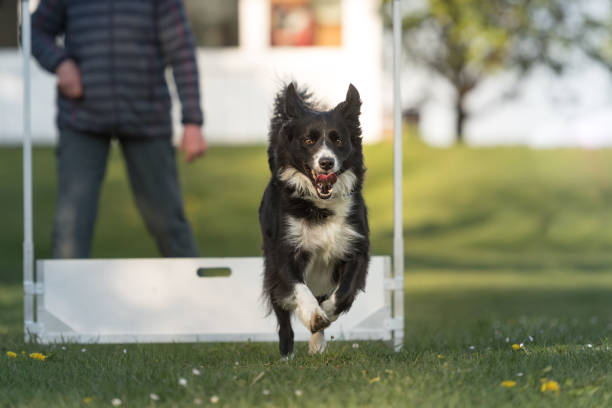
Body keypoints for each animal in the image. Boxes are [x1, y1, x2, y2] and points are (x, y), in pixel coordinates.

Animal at [258, 82, 368, 356]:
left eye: (338, 139)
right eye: (309, 139)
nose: (326, 162)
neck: (321, 206)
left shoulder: (356, 246)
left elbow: (344, 293)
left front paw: (326, 311)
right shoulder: (285, 250)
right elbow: (298, 287)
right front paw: (314, 315)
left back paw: (317, 345)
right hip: (271, 265)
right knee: (283, 316)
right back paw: (287, 353)